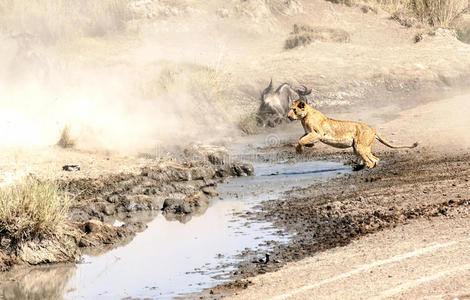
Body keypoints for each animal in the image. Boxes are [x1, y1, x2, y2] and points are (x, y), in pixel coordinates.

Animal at [286, 99, 418, 168]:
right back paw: (362, 165)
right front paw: (308, 145)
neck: (304, 117)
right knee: (375, 158)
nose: (287, 116)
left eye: (294, 110)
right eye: (290, 109)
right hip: (358, 147)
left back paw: (365, 166)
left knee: (371, 160)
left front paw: (299, 150)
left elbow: (301, 140)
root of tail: (373, 130)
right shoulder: (308, 132)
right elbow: (301, 138)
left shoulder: (318, 134)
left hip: (360, 146)